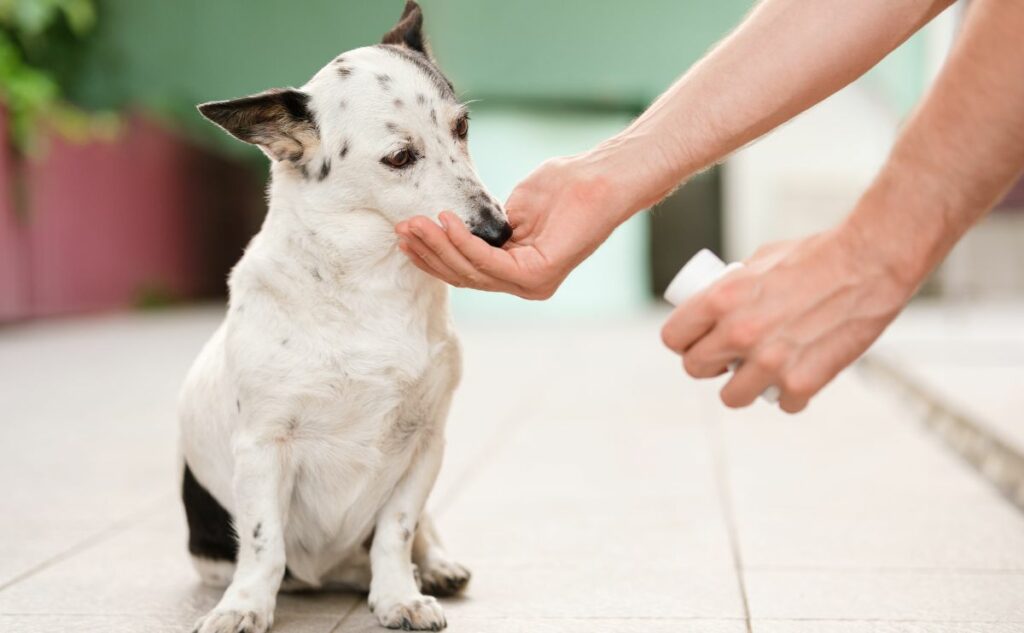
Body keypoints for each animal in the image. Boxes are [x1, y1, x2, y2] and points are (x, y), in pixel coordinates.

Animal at [179, 2, 512, 626]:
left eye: (462, 128)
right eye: (400, 157)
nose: (499, 232)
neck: (370, 286)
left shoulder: (424, 445)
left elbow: (397, 531)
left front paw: (399, 594)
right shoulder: (262, 449)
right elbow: (263, 544)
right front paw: (246, 606)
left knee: (418, 532)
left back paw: (432, 567)